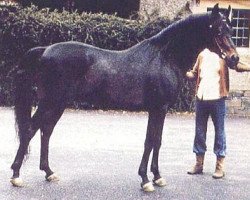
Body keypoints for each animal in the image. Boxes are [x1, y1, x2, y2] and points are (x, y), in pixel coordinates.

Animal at [10, 3, 239, 191]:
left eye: (231, 29)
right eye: (218, 30)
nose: (234, 58)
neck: (165, 57)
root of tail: (45, 50)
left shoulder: (160, 109)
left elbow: (156, 141)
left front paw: (157, 177)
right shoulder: (158, 108)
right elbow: (150, 141)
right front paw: (146, 180)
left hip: (57, 105)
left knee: (45, 132)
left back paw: (49, 173)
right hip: (50, 103)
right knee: (30, 130)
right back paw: (16, 175)